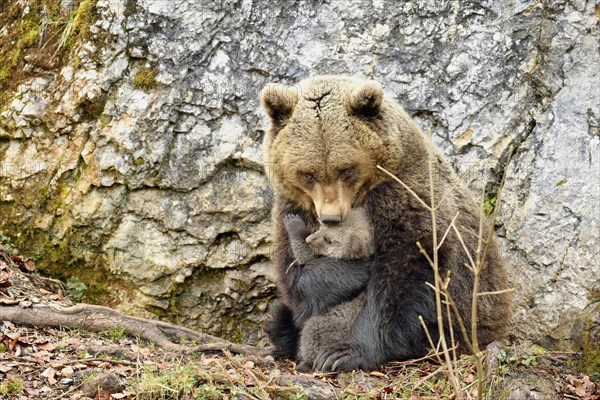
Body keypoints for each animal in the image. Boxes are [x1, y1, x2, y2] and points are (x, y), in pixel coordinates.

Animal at [260, 76, 508, 372]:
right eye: (308, 174)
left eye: (345, 169)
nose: (330, 216)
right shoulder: (291, 206)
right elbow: (293, 274)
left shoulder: (406, 199)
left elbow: (404, 280)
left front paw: (345, 352)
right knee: (278, 313)